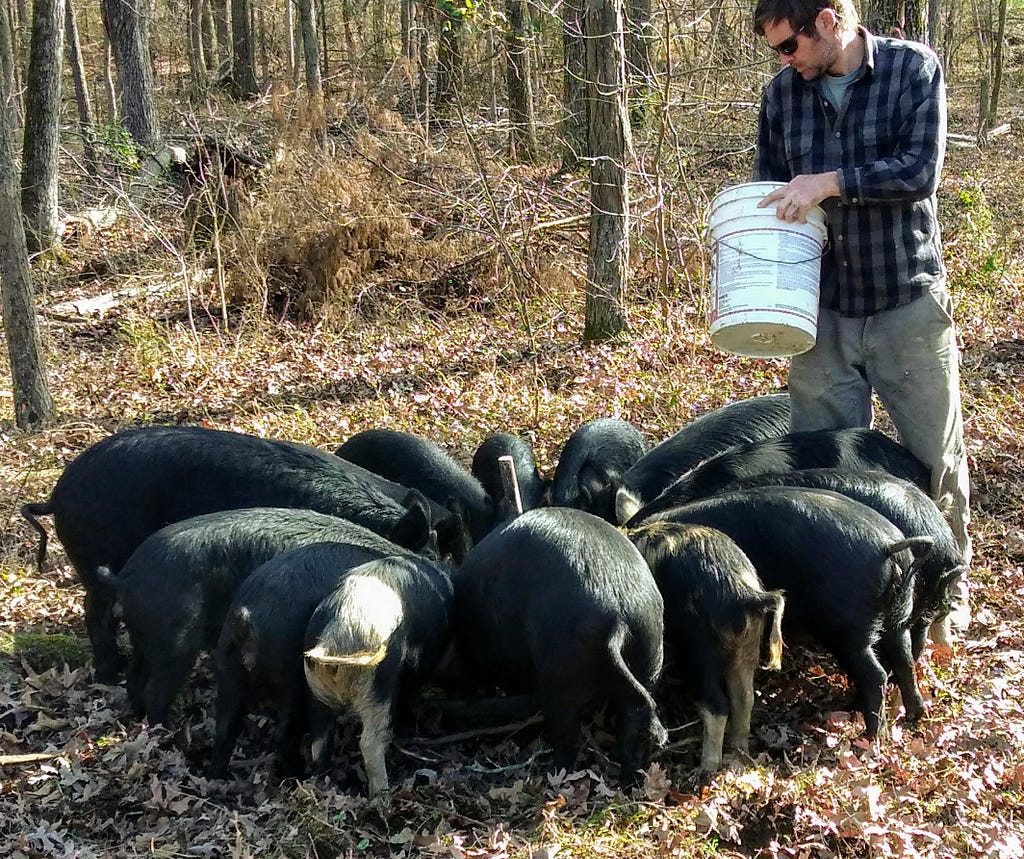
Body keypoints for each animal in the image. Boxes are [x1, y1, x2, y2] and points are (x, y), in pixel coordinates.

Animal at [299, 552, 452, 794]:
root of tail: (335, 637)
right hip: (378, 685)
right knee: (370, 741)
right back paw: (382, 795)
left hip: (315, 689)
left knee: (319, 740)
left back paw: (321, 783)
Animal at [622, 520, 782, 774]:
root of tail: (745, 593)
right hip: (748, 645)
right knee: (744, 697)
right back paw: (739, 751)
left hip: (698, 650)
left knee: (717, 705)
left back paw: (705, 769)